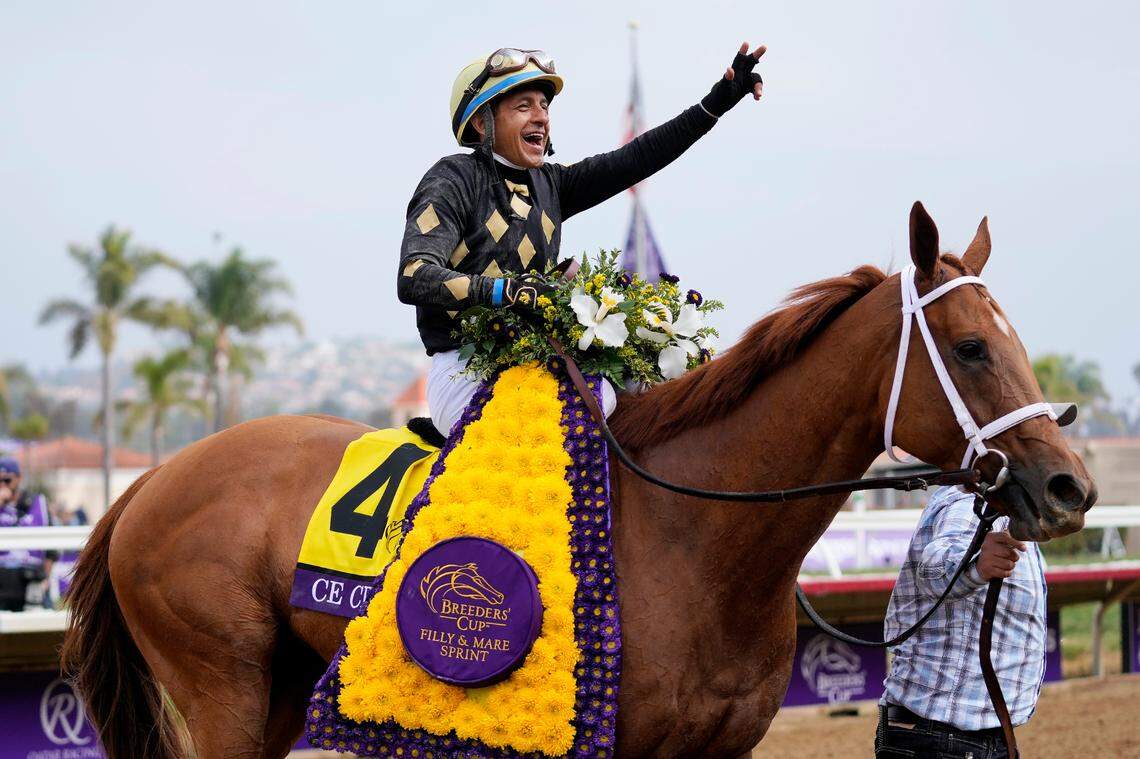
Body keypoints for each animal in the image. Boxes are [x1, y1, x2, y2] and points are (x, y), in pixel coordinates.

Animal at [61, 203, 1096, 758]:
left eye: (1012, 340)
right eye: (971, 347)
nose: (1070, 486)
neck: (693, 534)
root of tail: (147, 482)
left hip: (278, 683)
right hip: (222, 684)